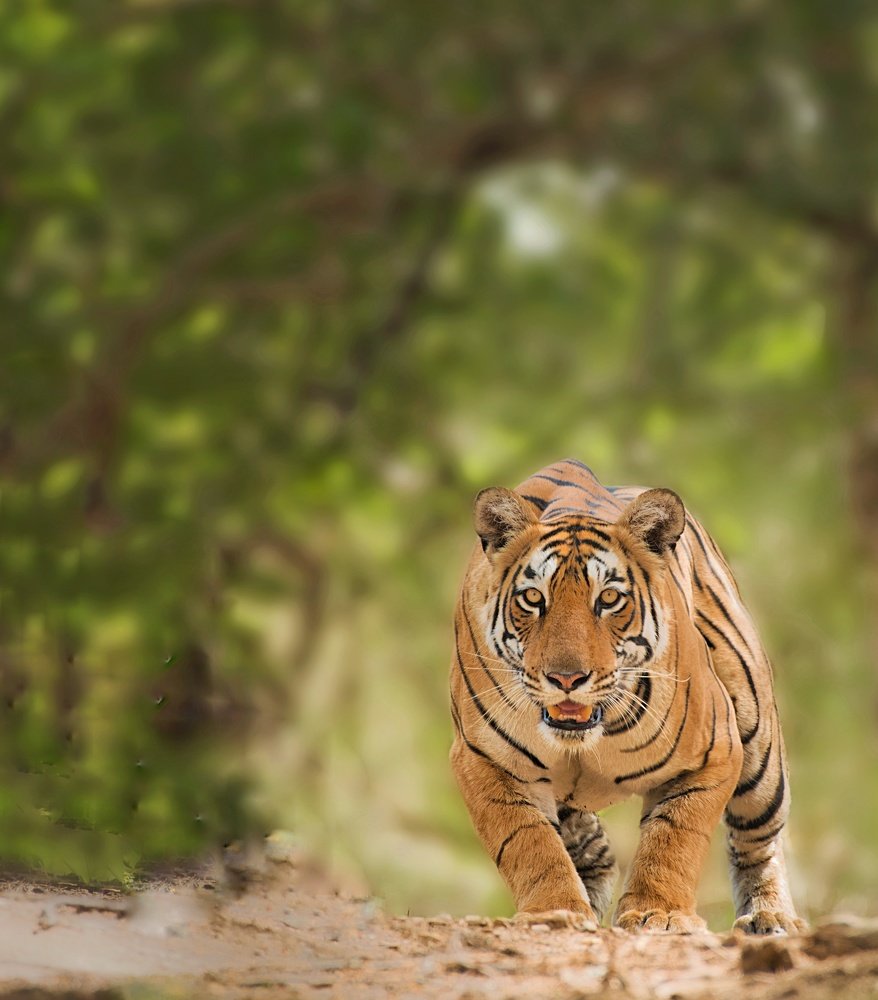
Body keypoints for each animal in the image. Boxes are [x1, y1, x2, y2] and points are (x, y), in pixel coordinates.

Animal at [449, 458, 804, 934]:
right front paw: (555, 911)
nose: (566, 678)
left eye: (610, 599)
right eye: (533, 598)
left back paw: (770, 918)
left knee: (760, 840)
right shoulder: (483, 759)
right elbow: (528, 841)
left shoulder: (716, 751)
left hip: (758, 744)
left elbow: (674, 837)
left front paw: (659, 913)